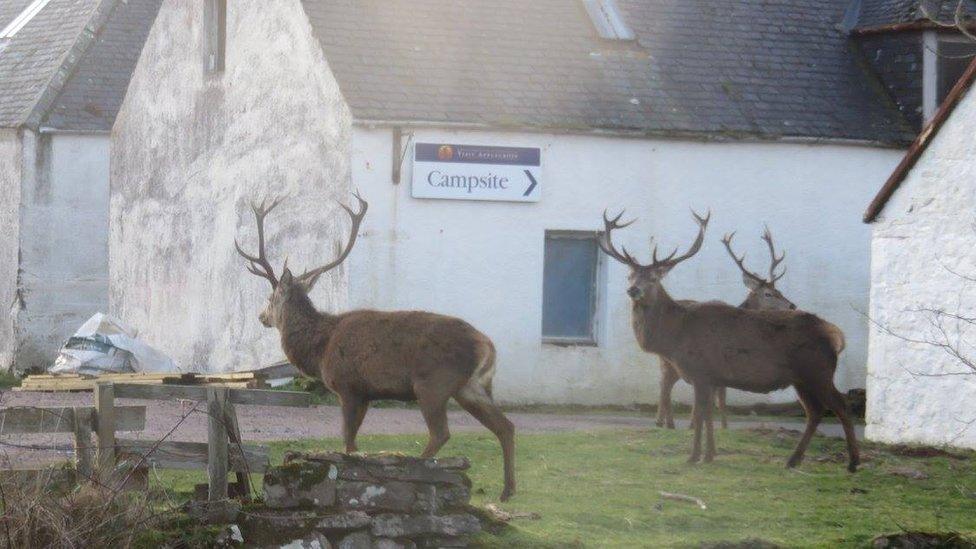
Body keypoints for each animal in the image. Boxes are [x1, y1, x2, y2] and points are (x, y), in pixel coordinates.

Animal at [235, 195, 516, 498]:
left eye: (270, 297)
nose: (261, 317)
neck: (320, 348)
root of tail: (486, 345)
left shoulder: (348, 386)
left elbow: (348, 441)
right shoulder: (366, 393)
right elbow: (353, 442)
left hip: (433, 383)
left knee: (441, 432)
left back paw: (417, 466)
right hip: (471, 387)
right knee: (505, 426)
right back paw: (507, 490)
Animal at [652, 226, 796, 428]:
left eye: (779, 291)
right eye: (768, 294)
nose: (792, 306)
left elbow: (717, 397)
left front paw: (713, 425)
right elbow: (719, 398)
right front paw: (714, 426)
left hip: (667, 359)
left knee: (663, 383)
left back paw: (664, 422)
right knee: (666, 384)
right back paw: (666, 423)